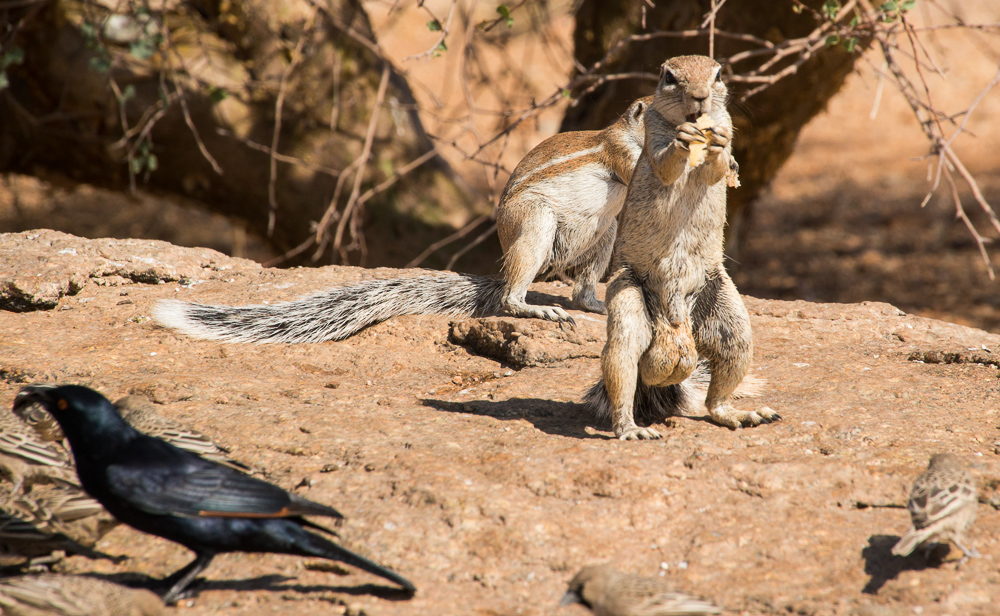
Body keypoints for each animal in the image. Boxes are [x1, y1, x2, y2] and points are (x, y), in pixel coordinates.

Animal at [148, 98, 648, 344]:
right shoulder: (623, 153)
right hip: (535, 226)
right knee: (510, 297)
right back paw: (538, 308)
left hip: (604, 235)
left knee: (581, 287)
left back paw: (594, 304)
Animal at [584, 54, 780, 438]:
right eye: (670, 77)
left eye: (718, 74)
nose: (701, 97)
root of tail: (675, 328)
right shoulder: (654, 136)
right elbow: (665, 164)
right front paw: (682, 141)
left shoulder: (727, 129)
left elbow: (718, 166)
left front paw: (717, 146)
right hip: (628, 300)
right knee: (623, 362)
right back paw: (629, 427)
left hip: (729, 320)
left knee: (717, 391)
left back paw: (736, 413)